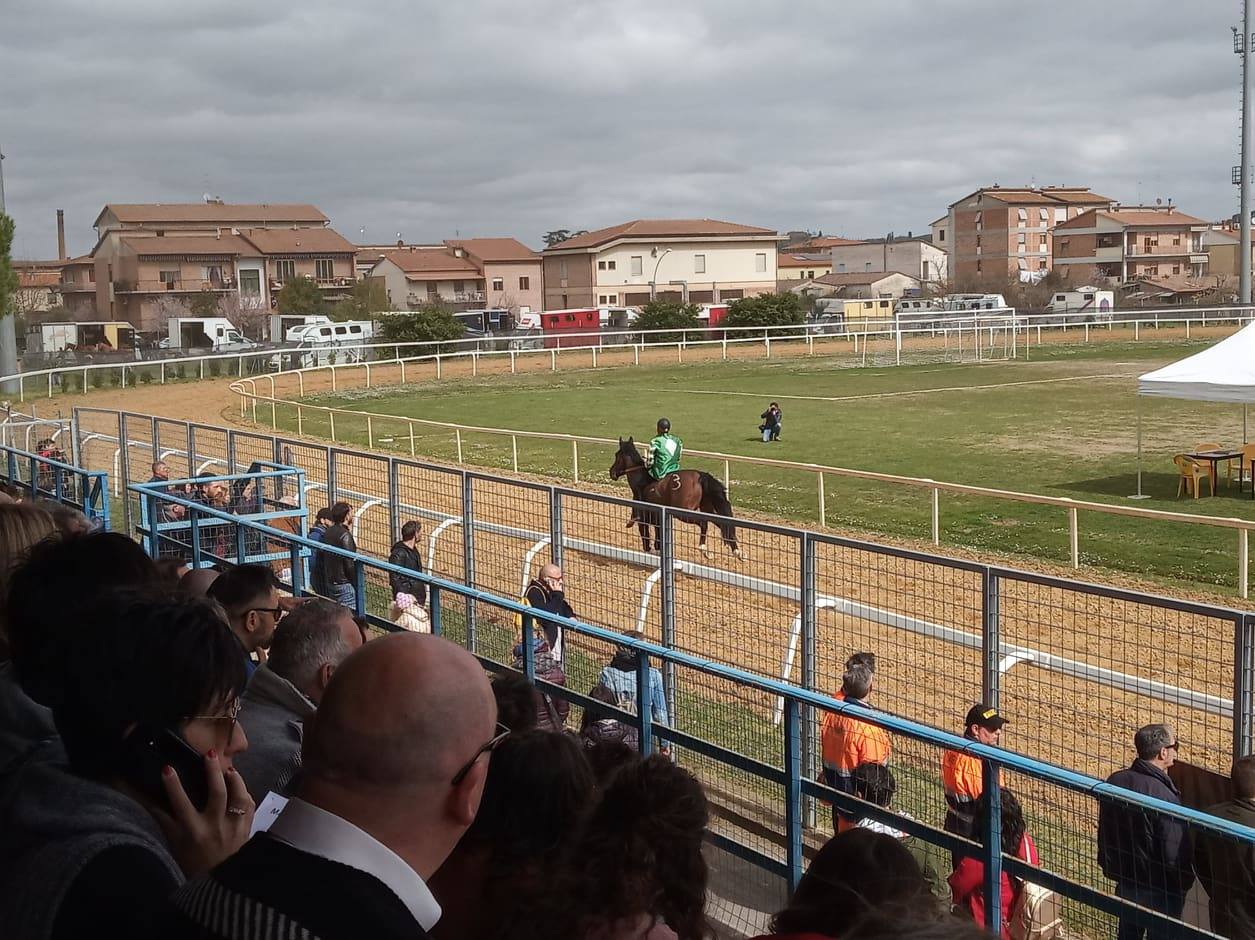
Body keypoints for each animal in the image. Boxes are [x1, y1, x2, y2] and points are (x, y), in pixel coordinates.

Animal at [609, 437, 741, 559]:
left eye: (617, 455)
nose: (612, 472)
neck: (643, 483)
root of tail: (700, 476)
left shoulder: (643, 519)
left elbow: (647, 540)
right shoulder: (657, 520)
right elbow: (658, 540)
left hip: (684, 512)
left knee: (704, 523)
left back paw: (703, 548)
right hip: (707, 509)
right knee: (723, 524)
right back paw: (737, 552)